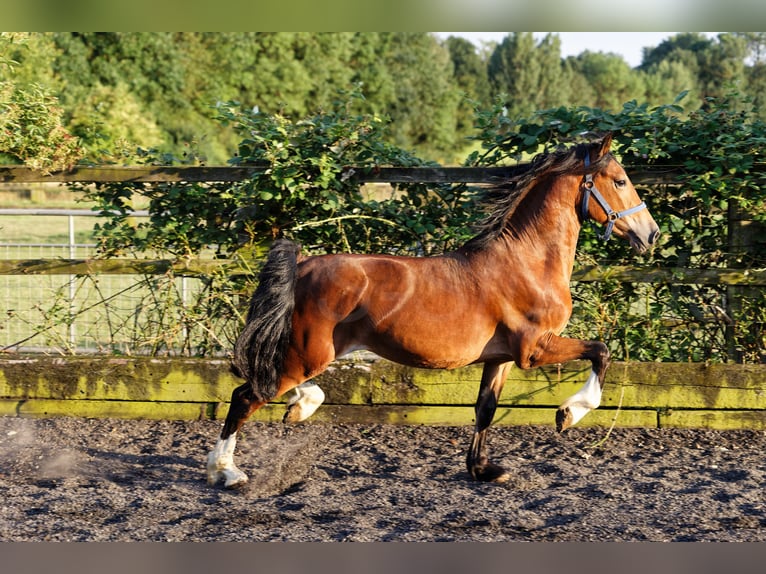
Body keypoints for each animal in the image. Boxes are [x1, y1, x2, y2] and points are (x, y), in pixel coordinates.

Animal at [208, 133, 660, 488]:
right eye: (620, 180)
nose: (651, 234)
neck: (527, 262)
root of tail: (303, 265)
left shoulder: (500, 358)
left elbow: (485, 409)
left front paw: (483, 469)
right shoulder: (535, 350)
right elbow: (601, 351)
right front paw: (568, 414)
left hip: (308, 352)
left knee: (271, 384)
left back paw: (298, 408)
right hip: (308, 353)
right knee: (247, 395)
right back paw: (226, 471)